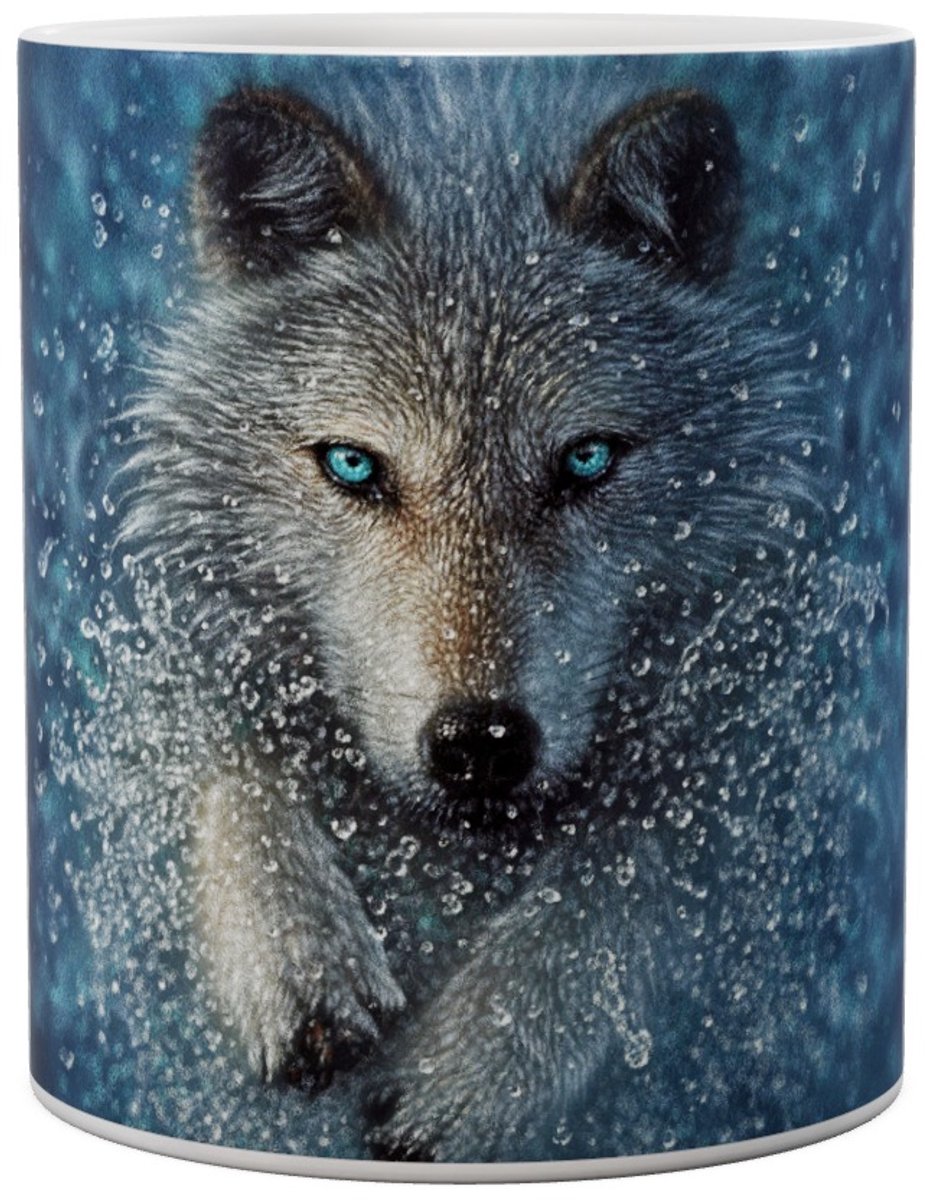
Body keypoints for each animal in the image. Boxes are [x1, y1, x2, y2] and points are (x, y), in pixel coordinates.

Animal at [104, 71, 888, 1162]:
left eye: (586, 461)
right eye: (354, 466)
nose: (477, 743)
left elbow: (640, 861)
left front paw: (476, 1068)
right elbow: (233, 764)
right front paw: (297, 961)